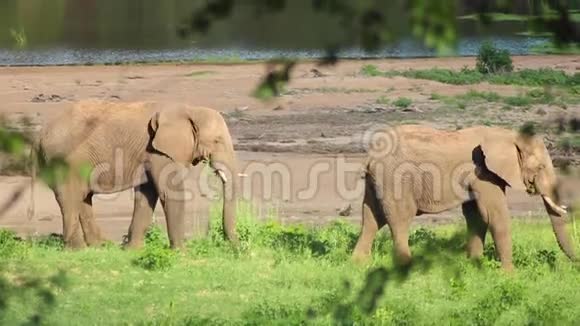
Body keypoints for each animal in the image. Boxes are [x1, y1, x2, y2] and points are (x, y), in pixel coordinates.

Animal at [28, 99, 238, 250]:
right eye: (217, 140)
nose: (234, 246)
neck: (190, 109)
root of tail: (39, 136)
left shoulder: (149, 154)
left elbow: (146, 194)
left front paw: (132, 250)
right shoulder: (159, 152)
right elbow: (169, 192)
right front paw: (181, 252)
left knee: (82, 198)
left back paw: (99, 247)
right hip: (63, 161)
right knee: (70, 198)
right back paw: (78, 250)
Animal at [354, 123, 576, 272]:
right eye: (541, 167)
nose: (574, 264)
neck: (507, 135)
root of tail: (371, 157)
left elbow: (476, 216)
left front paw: (474, 266)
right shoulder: (483, 172)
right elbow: (495, 216)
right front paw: (509, 275)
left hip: (377, 181)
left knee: (372, 218)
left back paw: (359, 264)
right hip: (395, 178)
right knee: (400, 219)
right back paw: (407, 268)